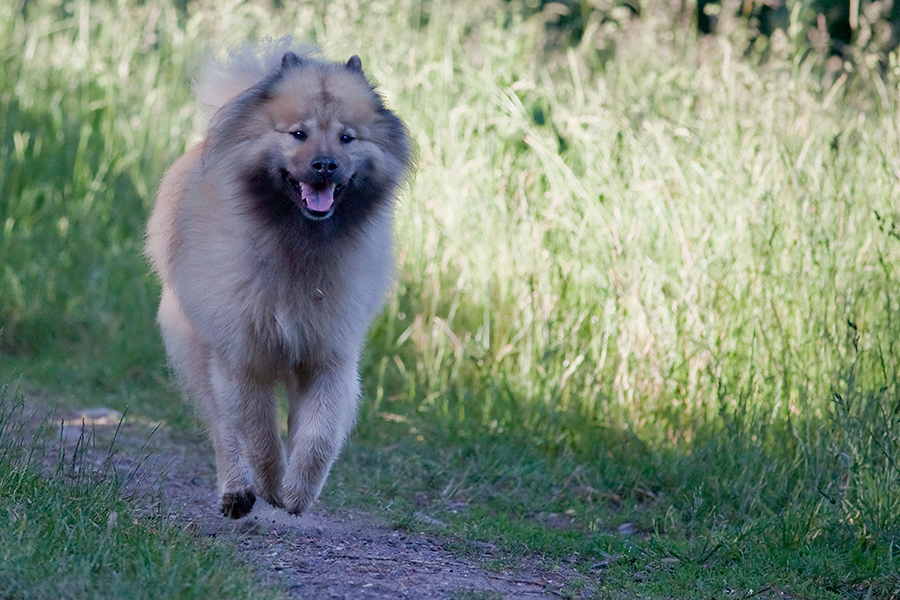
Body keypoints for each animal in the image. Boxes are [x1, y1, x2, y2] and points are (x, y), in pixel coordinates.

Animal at [146, 44, 414, 516]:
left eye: (347, 138)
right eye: (298, 134)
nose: (324, 166)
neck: (297, 244)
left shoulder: (329, 357)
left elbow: (319, 435)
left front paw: (298, 491)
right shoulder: (241, 359)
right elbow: (258, 436)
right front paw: (271, 485)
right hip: (196, 348)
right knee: (224, 429)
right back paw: (237, 491)